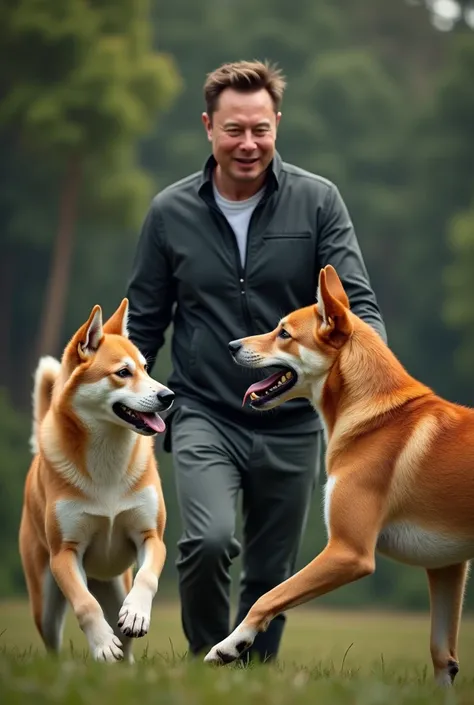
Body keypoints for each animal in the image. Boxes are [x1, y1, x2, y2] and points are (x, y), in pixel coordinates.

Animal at [19, 298, 174, 660]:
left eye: (145, 367)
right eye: (123, 372)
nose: (169, 396)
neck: (108, 458)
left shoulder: (151, 537)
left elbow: (148, 579)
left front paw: (137, 612)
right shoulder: (65, 553)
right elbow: (86, 605)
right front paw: (103, 644)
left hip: (116, 586)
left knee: (126, 638)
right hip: (45, 601)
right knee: (53, 640)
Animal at [206, 266, 474, 684]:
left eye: (284, 333)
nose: (232, 345)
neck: (376, 417)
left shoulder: (348, 550)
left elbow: (268, 596)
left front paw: (229, 646)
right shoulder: (446, 565)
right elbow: (442, 656)